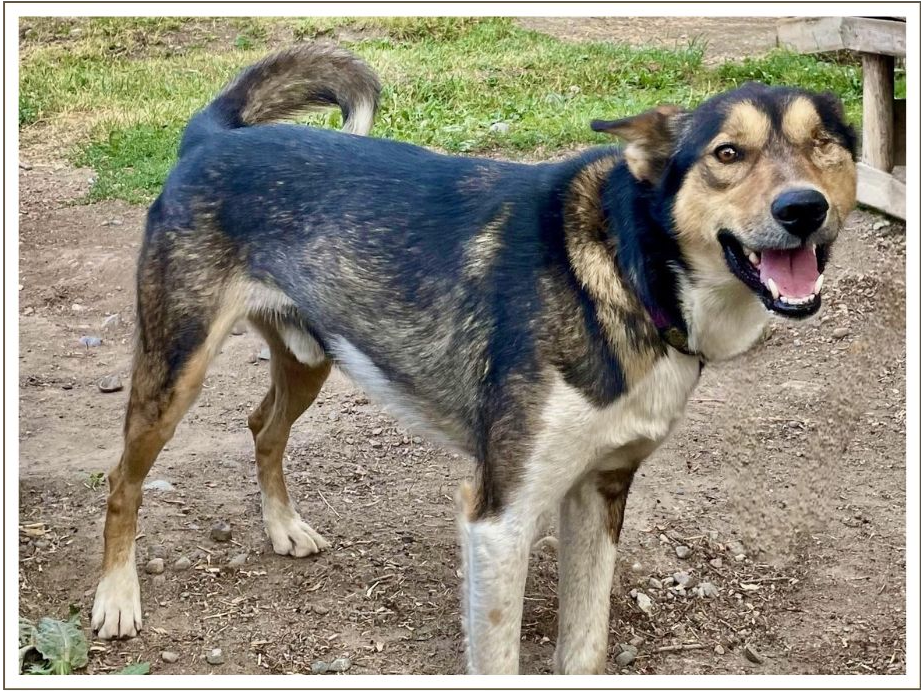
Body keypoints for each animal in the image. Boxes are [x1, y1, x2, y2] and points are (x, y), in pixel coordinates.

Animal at [90, 44, 860, 676]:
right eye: (727, 154)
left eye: (824, 143)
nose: (802, 209)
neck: (628, 269)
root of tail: (210, 138)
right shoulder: (499, 517)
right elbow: (497, 653)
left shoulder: (600, 489)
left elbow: (584, 647)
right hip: (175, 367)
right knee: (124, 479)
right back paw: (117, 598)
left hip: (310, 357)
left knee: (262, 426)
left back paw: (283, 527)